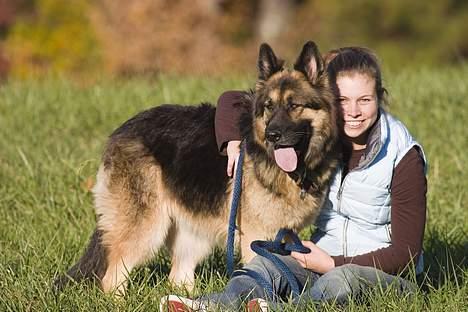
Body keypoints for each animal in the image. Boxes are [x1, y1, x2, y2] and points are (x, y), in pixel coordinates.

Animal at [55, 41, 340, 294]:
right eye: (269, 107)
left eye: (294, 105)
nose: (272, 135)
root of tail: (121, 130)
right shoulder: (256, 237)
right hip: (146, 228)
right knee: (112, 277)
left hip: (192, 234)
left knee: (177, 277)